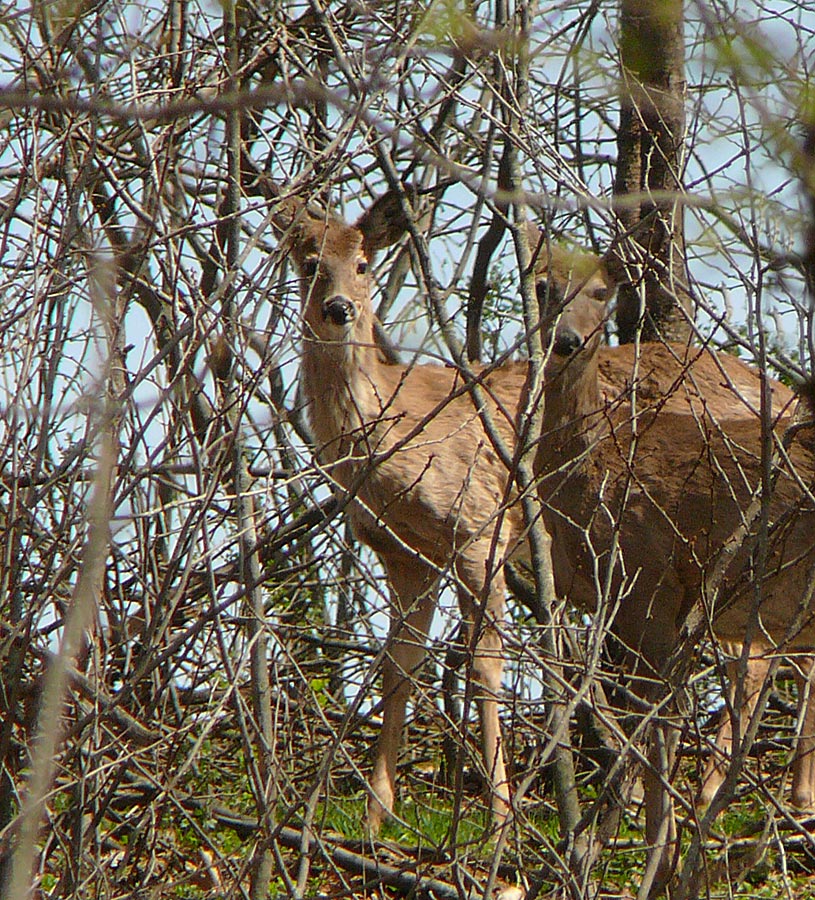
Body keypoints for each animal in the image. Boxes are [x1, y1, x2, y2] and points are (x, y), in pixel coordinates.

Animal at [267, 185, 618, 836]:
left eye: (363, 265)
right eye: (308, 264)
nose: (338, 308)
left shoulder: (479, 527)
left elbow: (484, 665)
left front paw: (500, 818)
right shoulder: (405, 554)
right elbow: (399, 666)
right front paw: (377, 815)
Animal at [532, 233, 815, 888]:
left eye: (601, 292)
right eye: (542, 285)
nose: (567, 340)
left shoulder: (649, 582)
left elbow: (657, 720)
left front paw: (656, 854)